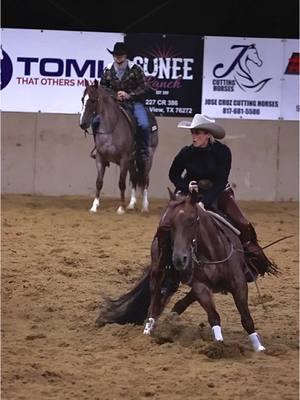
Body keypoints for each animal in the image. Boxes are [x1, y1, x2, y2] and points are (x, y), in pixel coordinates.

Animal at [79, 79, 159, 214]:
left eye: (93, 100)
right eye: (82, 99)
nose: (82, 123)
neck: (111, 128)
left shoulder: (123, 159)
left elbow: (121, 183)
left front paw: (121, 208)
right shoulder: (100, 158)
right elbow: (99, 182)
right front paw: (94, 207)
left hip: (148, 158)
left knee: (145, 179)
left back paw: (144, 207)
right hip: (131, 161)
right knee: (134, 178)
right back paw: (131, 204)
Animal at [97, 192, 278, 352]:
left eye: (192, 221)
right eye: (171, 225)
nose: (179, 259)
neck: (214, 254)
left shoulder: (239, 284)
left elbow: (246, 318)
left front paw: (259, 347)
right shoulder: (200, 286)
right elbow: (213, 315)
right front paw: (219, 345)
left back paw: (173, 315)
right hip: (158, 269)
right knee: (155, 295)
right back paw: (149, 326)